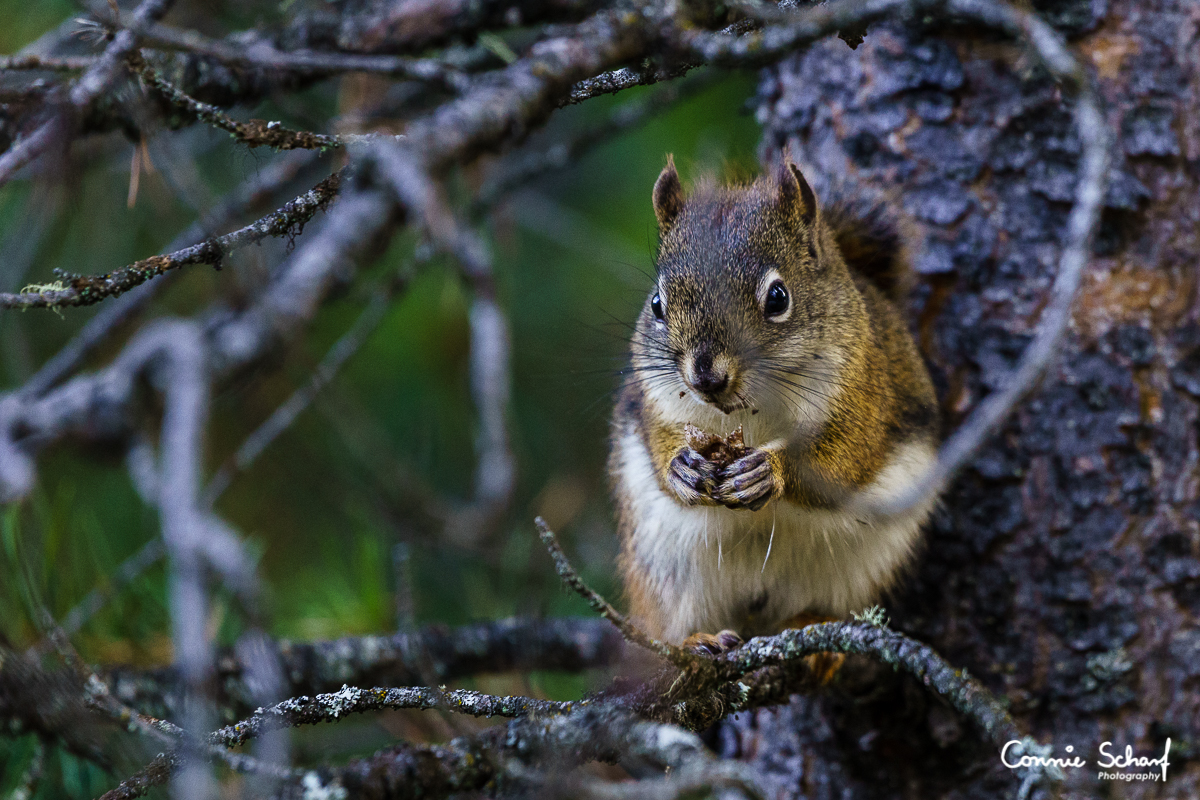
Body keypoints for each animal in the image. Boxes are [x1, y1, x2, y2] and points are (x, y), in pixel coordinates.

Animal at [614, 153, 940, 652]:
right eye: (656, 304)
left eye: (777, 297)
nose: (706, 375)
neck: (750, 411)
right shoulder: (656, 403)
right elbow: (659, 442)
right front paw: (682, 468)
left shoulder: (867, 397)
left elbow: (844, 461)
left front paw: (769, 470)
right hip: (665, 568)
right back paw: (695, 641)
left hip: (855, 568)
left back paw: (810, 634)